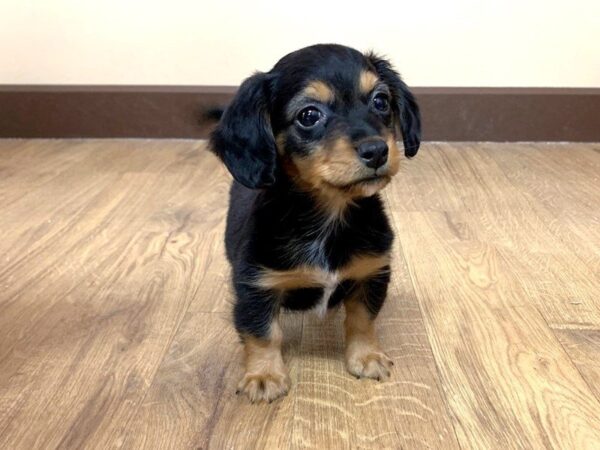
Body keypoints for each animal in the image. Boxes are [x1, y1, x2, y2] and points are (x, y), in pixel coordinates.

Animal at [211, 44, 422, 402]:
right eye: (309, 115)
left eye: (381, 101)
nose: (377, 150)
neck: (330, 215)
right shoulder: (255, 285)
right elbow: (262, 332)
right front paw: (264, 375)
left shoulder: (371, 271)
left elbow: (363, 319)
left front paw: (366, 356)